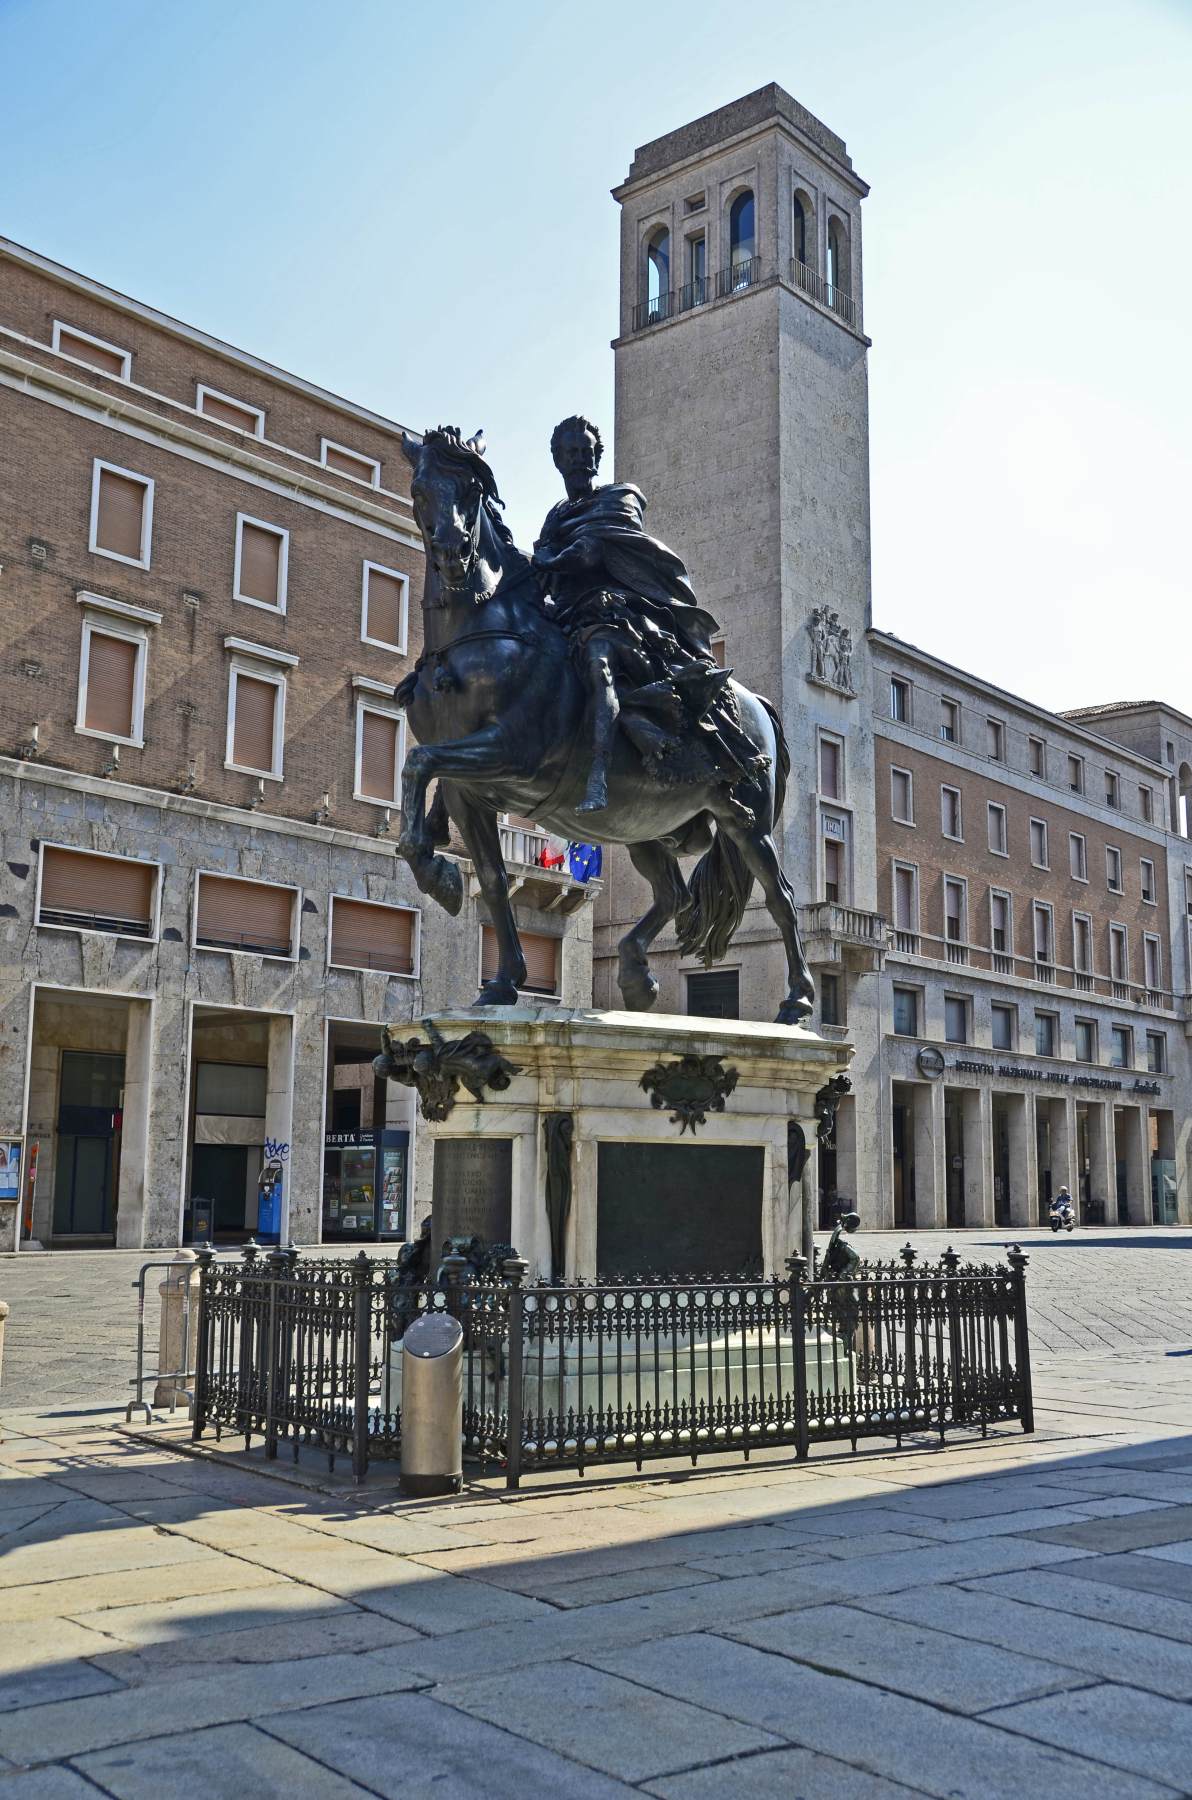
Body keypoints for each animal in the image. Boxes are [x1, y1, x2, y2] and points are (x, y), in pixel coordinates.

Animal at [396, 428, 817, 1029]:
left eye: (473, 488)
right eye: (420, 488)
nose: (454, 554)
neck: (480, 636)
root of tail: (754, 699)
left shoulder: (510, 753)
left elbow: (417, 762)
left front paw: (439, 875)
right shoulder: (467, 791)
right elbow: (493, 878)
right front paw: (499, 975)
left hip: (746, 820)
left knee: (780, 896)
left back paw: (796, 1000)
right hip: (645, 829)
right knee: (675, 897)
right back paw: (637, 976)